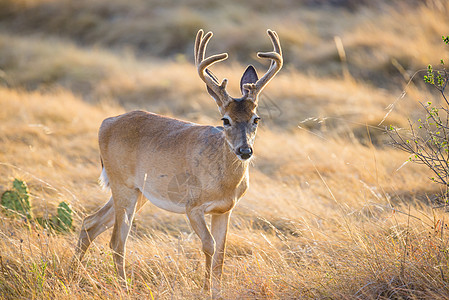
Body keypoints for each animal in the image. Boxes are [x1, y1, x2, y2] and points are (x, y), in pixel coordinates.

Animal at [73, 28, 284, 296]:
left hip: (139, 192)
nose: (245, 150)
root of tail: (105, 123)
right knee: (116, 240)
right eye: (225, 120)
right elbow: (209, 245)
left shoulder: (225, 209)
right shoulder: (192, 205)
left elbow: (222, 252)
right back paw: (123, 288)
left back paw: (72, 274)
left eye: (256, 118)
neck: (223, 181)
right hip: (122, 185)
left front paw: (216, 290)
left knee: (90, 223)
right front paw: (205, 290)